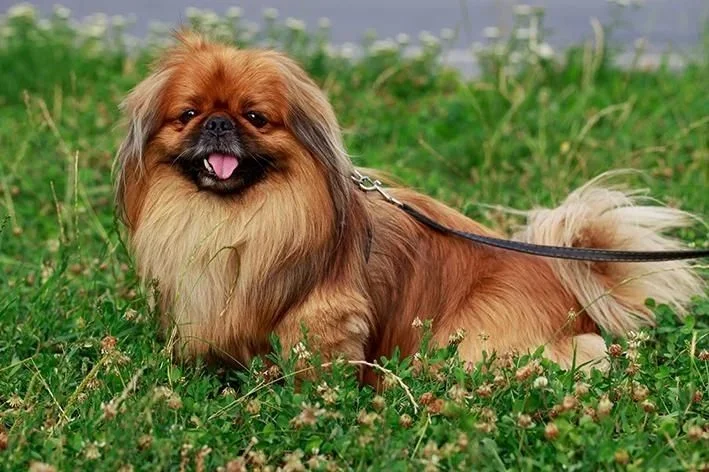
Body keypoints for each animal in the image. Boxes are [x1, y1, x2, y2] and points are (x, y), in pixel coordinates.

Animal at [115, 32, 704, 380]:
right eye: (189, 114)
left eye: (255, 117)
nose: (219, 123)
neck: (234, 219)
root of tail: (572, 295)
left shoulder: (323, 316)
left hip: (467, 344)